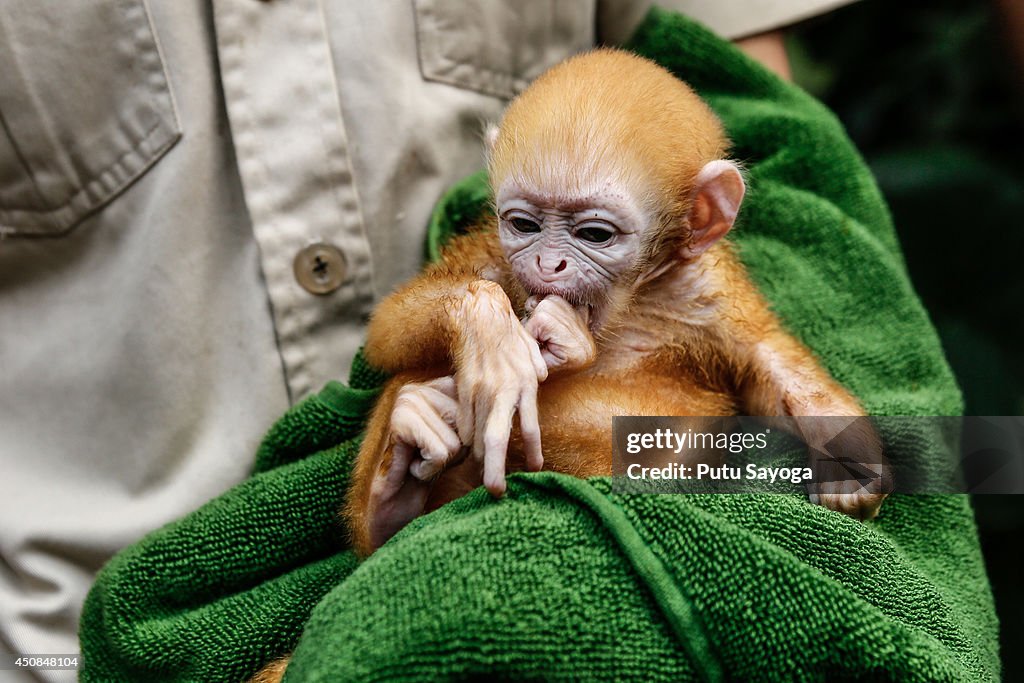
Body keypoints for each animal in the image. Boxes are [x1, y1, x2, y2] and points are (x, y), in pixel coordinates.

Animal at [346, 49, 888, 561]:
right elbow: (389, 328)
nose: (547, 263)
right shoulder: (491, 258)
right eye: (524, 225)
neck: (631, 306)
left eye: (594, 234)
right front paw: (495, 341)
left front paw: (850, 462)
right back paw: (390, 496)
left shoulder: (708, 290)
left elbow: (765, 364)